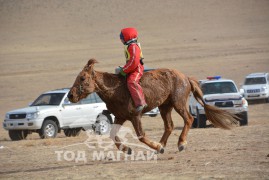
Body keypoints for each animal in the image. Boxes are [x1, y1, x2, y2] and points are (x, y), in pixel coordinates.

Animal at [67, 58, 237, 154]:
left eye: (82, 78)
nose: (70, 95)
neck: (115, 89)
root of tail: (185, 77)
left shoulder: (135, 116)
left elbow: (141, 135)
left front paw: (155, 146)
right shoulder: (120, 117)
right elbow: (112, 135)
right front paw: (127, 149)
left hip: (178, 104)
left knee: (188, 119)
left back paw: (180, 143)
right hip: (165, 107)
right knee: (169, 126)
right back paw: (162, 145)